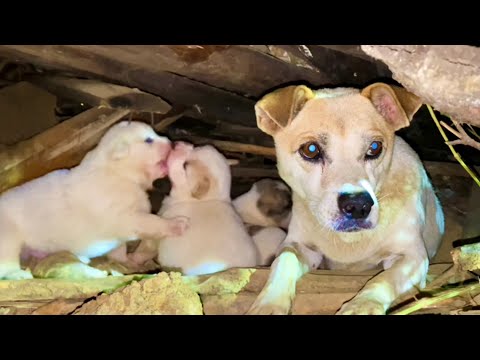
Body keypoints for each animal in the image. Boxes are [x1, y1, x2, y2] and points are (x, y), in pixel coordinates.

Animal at [0, 119, 189, 280]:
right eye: (149, 140)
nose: (172, 142)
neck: (120, 174)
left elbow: (119, 249)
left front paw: (126, 261)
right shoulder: (124, 217)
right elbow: (151, 222)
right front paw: (177, 224)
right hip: (8, 238)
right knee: (8, 265)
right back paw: (20, 275)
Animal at [248, 83, 446, 314]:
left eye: (375, 148)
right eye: (310, 149)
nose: (358, 206)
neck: (349, 242)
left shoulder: (413, 256)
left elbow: (383, 280)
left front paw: (361, 306)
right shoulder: (300, 246)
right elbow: (283, 260)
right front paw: (269, 303)